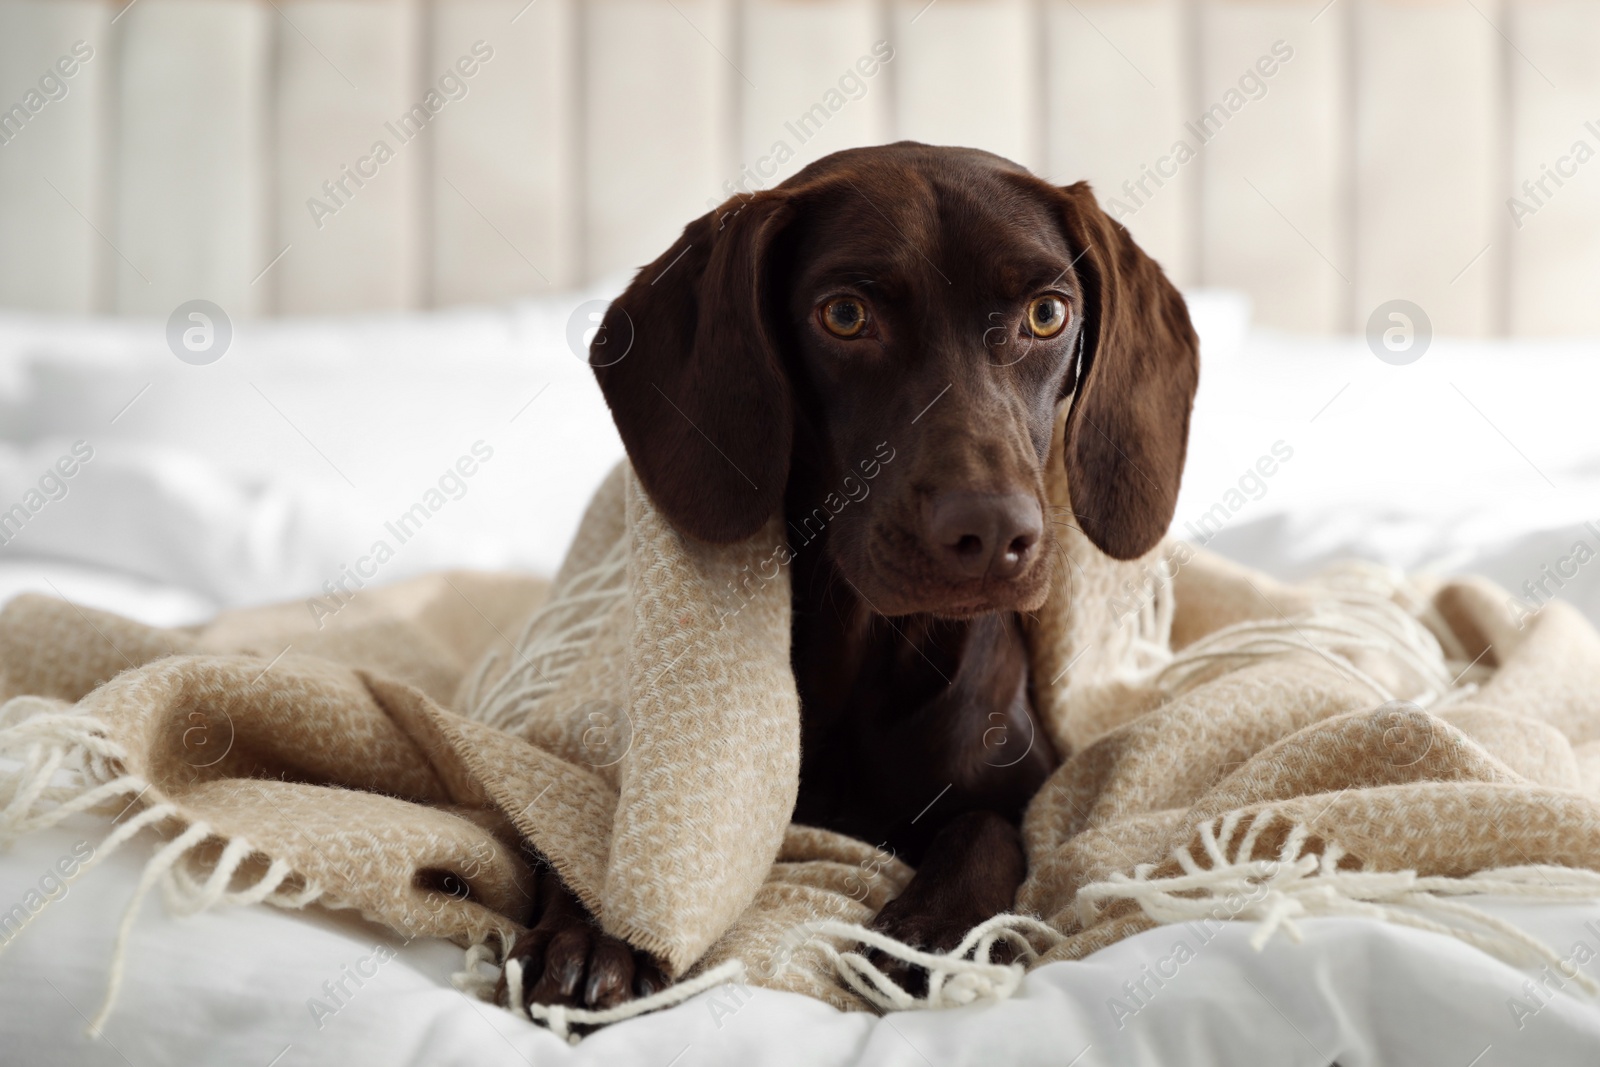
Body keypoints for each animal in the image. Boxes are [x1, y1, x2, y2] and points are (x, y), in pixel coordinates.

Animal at [505, 139, 1196, 1011]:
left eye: (1048, 314)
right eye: (844, 316)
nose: (992, 533)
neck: (867, 654)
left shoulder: (1018, 788)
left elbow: (985, 831)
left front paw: (933, 931)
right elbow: (579, 830)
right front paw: (597, 927)